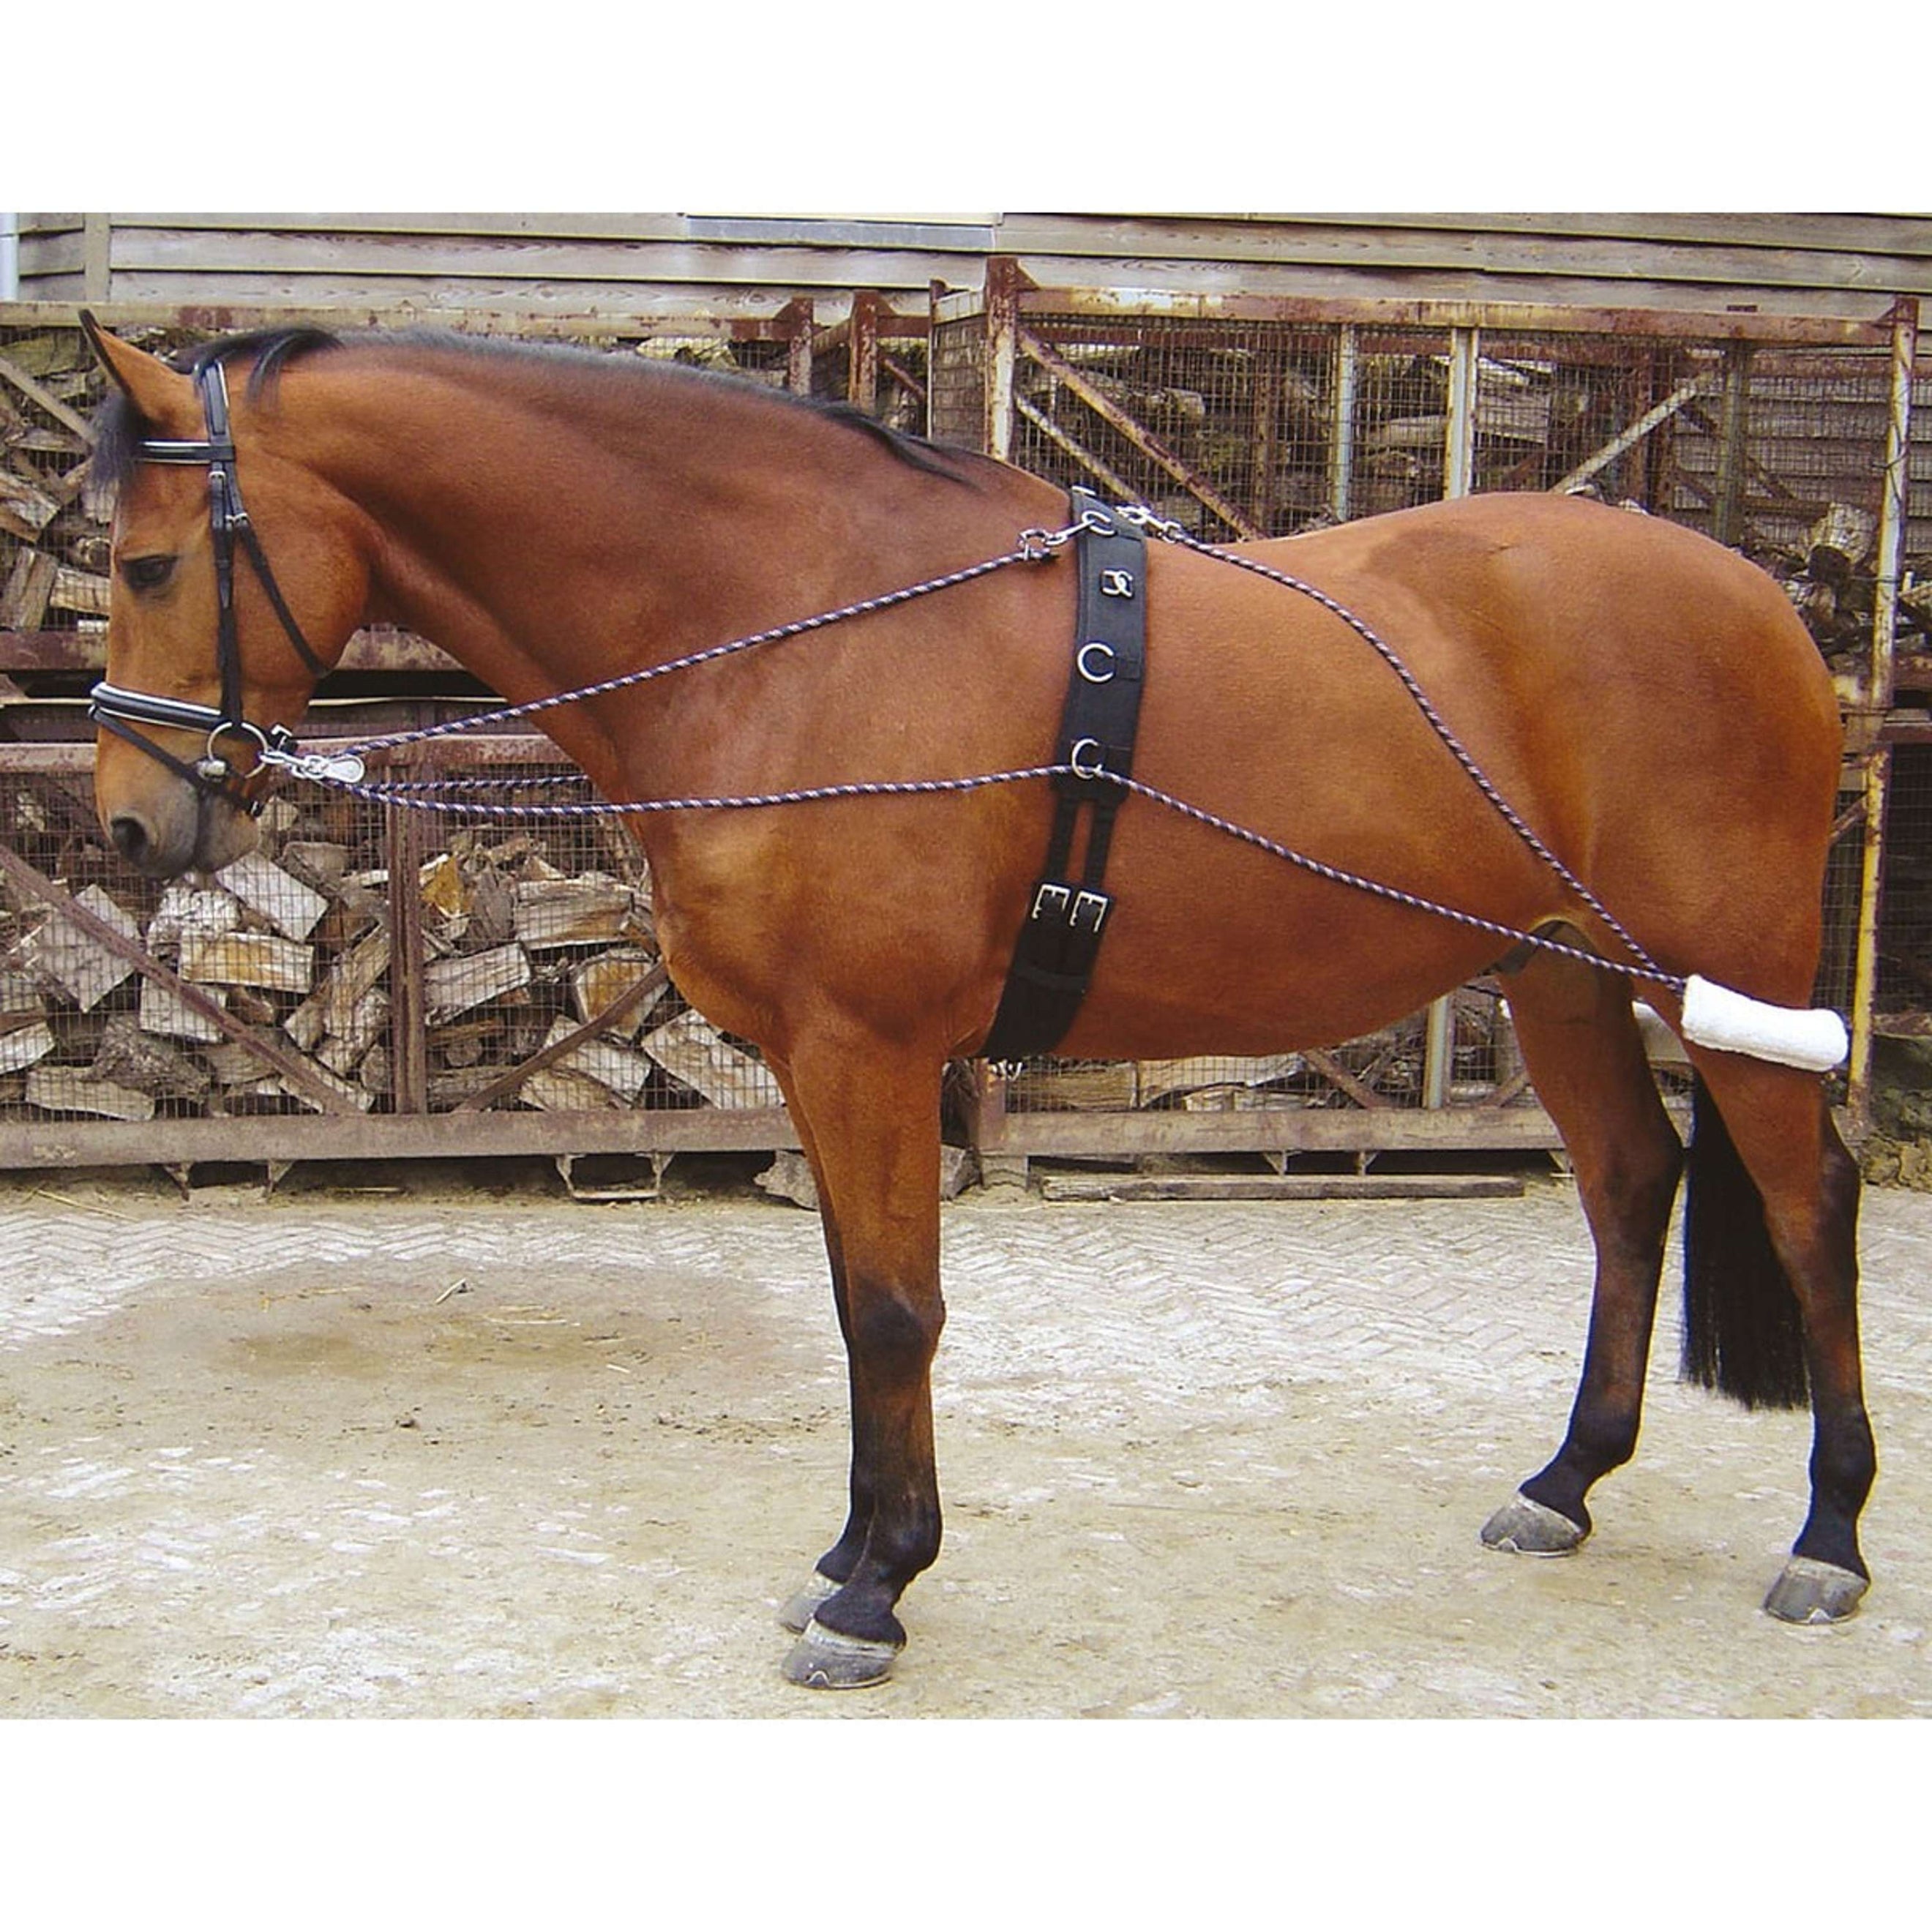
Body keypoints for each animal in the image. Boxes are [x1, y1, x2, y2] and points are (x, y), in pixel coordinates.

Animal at [77, 316, 1875, 1689]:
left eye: (151, 562)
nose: (129, 824)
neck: (786, 630)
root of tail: (1768, 607)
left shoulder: (869, 1051)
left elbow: (892, 1312)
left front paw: (878, 1594)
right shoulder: (817, 1062)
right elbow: (855, 1299)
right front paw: (847, 1554)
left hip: (1723, 982)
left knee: (1809, 1204)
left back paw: (1830, 1536)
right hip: (1561, 976)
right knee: (1633, 1185)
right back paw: (1566, 1483)